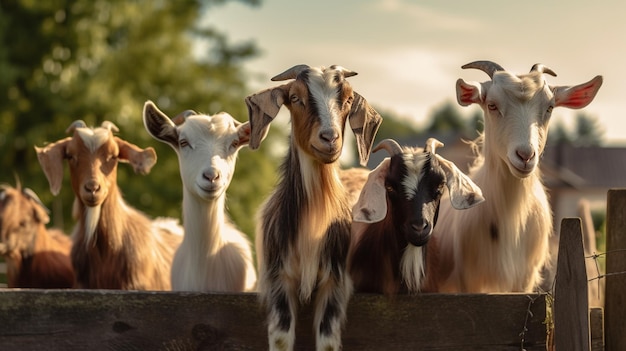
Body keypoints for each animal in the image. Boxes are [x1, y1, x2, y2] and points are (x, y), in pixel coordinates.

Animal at [244, 64, 380, 350]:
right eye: (295, 98)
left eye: (348, 100)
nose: (329, 138)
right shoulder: (278, 277)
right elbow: (281, 337)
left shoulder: (335, 279)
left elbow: (327, 339)